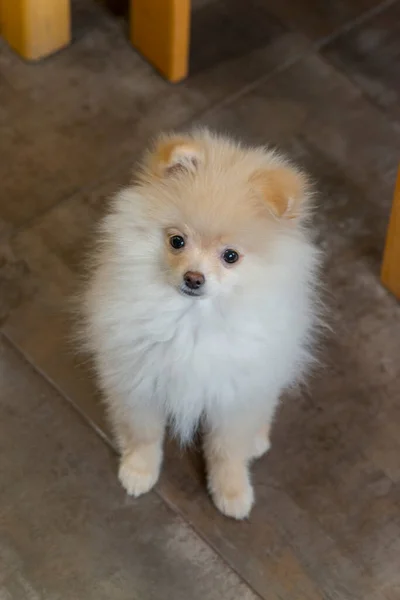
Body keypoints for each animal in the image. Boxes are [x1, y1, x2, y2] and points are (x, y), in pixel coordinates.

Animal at [83, 130, 320, 520]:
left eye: (230, 256)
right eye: (177, 241)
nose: (194, 278)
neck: (192, 320)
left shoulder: (234, 395)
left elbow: (227, 450)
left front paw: (233, 492)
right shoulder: (138, 378)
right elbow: (143, 432)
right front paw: (138, 470)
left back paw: (258, 438)